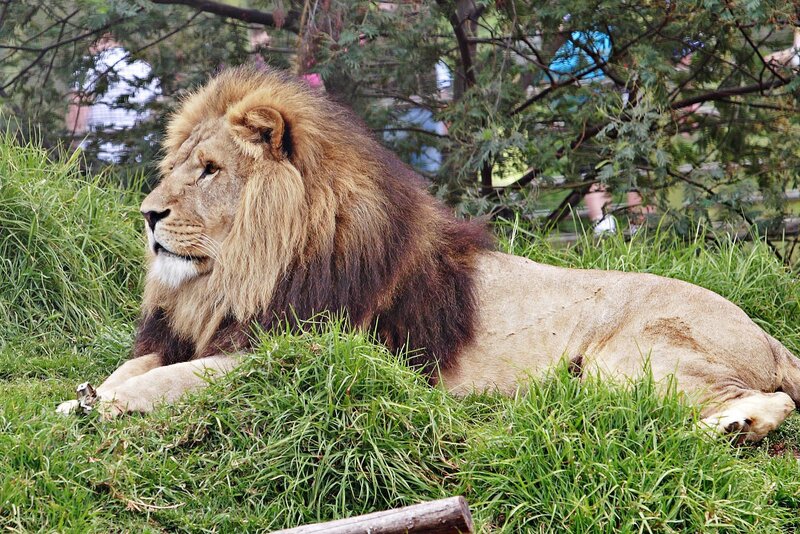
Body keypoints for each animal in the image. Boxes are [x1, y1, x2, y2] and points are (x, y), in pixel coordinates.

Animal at [57, 66, 800, 442]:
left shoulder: (290, 352)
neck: (239, 276)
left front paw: (104, 406)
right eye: (175, 168)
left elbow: (170, 381)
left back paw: (735, 426)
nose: (148, 214)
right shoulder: (201, 332)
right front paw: (87, 395)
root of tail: (766, 333)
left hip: (631, 359)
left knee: (768, 399)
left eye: (209, 170)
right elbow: (137, 365)